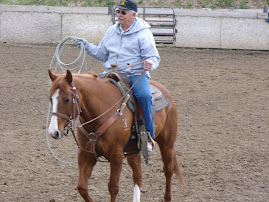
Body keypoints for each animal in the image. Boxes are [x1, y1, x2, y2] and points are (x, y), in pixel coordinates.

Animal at [47, 70, 183, 202]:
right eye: (50, 99)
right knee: (138, 175)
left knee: (168, 170)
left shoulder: (116, 155)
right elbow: (82, 187)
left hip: (167, 144)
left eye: (67, 99)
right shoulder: (86, 155)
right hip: (133, 150)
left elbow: (113, 188)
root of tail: (165, 92)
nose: (53, 132)